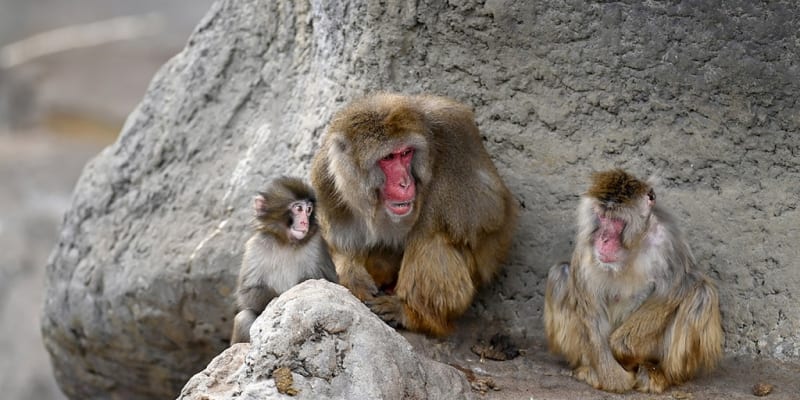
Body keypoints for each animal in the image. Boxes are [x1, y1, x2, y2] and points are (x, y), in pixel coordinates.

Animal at [230, 176, 337, 344]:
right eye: (298, 208)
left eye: (308, 210)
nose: (305, 222)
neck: (286, 243)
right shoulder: (255, 246)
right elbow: (247, 292)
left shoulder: (317, 244)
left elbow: (331, 284)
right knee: (244, 317)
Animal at [310, 93, 518, 336]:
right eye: (388, 158)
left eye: (405, 154)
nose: (405, 183)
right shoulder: (326, 174)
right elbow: (338, 240)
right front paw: (352, 276)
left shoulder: (456, 132)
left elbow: (488, 209)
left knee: (429, 238)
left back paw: (412, 314)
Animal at [544, 169, 723, 393]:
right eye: (602, 216)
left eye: (616, 220)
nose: (603, 239)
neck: (633, 245)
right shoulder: (586, 246)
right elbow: (590, 307)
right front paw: (614, 379)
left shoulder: (668, 240)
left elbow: (676, 287)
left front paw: (622, 350)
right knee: (561, 273)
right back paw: (589, 370)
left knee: (701, 293)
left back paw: (660, 373)